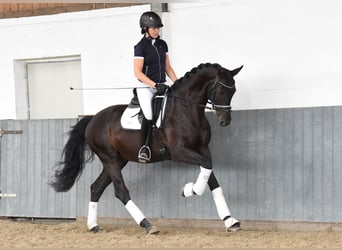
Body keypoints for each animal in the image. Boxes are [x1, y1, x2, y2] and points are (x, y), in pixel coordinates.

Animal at [50, 62, 243, 234]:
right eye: (221, 90)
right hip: (109, 158)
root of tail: (93, 119)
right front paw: (189, 190)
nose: (225, 121)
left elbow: (210, 173)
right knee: (121, 191)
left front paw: (230, 221)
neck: (186, 109)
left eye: (233, 91)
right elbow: (206, 169)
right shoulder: (178, 151)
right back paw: (147, 225)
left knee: (96, 188)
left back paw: (94, 226)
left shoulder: (202, 149)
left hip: (118, 160)